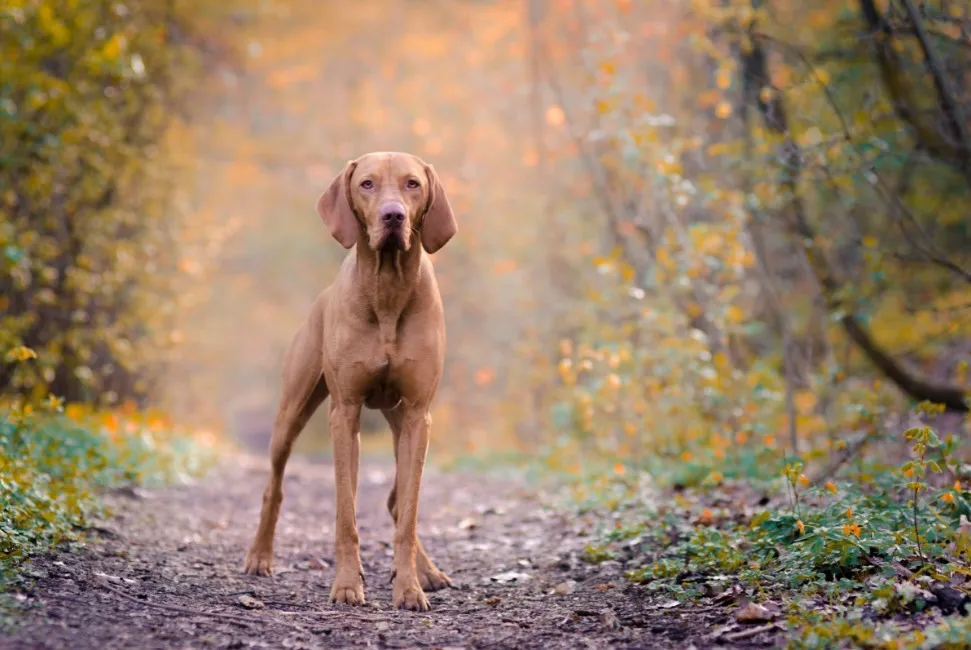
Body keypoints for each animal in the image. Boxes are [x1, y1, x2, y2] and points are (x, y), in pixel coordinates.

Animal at [241, 149, 458, 612]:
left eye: (413, 184)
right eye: (367, 184)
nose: (393, 216)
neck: (388, 288)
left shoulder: (418, 415)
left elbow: (408, 514)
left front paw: (408, 587)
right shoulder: (344, 413)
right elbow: (345, 515)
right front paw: (345, 585)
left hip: (398, 423)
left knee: (397, 500)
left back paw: (427, 571)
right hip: (293, 414)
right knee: (275, 487)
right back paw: (260, 556)